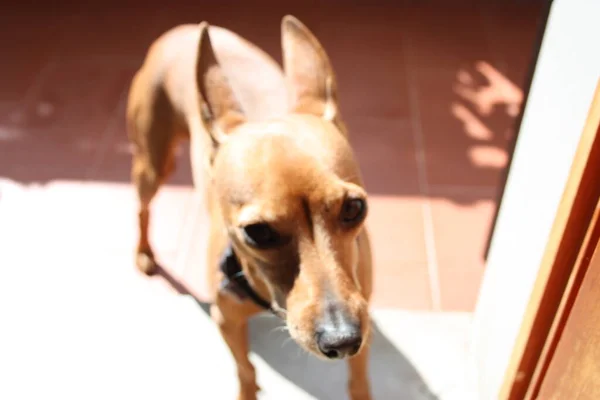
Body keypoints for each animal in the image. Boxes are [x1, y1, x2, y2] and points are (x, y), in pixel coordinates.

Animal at [126, 15, 372, 400]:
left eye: (354, 208)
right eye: (257, 233)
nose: (342, 338)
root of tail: (180, 30)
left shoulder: (364, 313)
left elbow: (359, 375)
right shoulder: (225, 319)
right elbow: (244, 369)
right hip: (152, 165)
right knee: (142, 207)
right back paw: (144, 253)